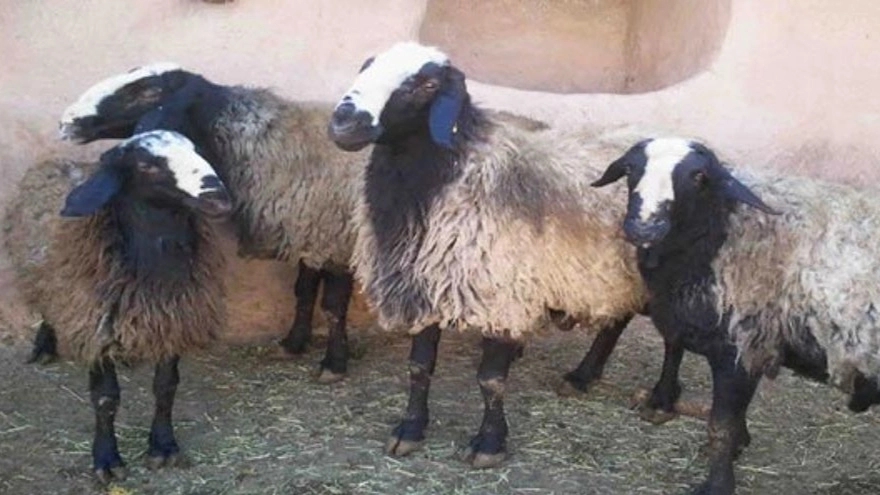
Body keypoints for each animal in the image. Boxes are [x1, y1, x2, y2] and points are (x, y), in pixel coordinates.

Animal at [4, 130, 231, 483]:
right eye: (145, 165)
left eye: (197, 150)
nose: (218, 198)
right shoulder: (96, 325)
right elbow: (105, 399)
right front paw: (107, 459)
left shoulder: (172, 320)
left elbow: (166, 387)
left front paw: (163, 446)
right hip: (52, 283)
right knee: (49, 309)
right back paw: (44, 345)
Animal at [57, 63, 554, 383]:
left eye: (146, 92)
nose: (66, 122)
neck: (260, 143)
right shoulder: (309, 232)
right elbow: (302, 292)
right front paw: (294, 341)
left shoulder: (333, 238)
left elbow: (331, 305)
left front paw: (333, 364)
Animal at [326, 41, 689, 467]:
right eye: (366, 66)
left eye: (427, 84)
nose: (344, 122)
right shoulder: (425, 284)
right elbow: (419, 367)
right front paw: (410, 430)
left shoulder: (503, 295)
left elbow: (490, 380)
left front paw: (489, 443)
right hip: (611, 272)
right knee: (616, 319)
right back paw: (583, 376)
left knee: (674, 336)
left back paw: (661, 400)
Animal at [592, 137, 880, 494]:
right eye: (630, 168)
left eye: (699, 176)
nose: (645, 227)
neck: (724, 231)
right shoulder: (751, 347)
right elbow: (735, 412)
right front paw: (739, 446)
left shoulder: (739, 346)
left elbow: (721, 424)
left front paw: (717, 484)